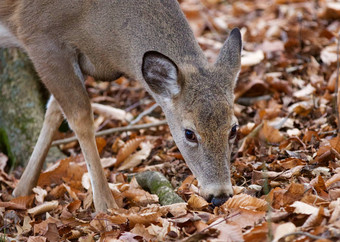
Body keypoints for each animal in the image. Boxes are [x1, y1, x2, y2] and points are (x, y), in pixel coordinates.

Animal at [1, 0, 243, 212]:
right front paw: (105, 205)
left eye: (233, 129)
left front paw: (21, 189)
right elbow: (80, 116)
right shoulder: (40, 37)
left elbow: (53, 111)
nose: (220, 195)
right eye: (189, 133)